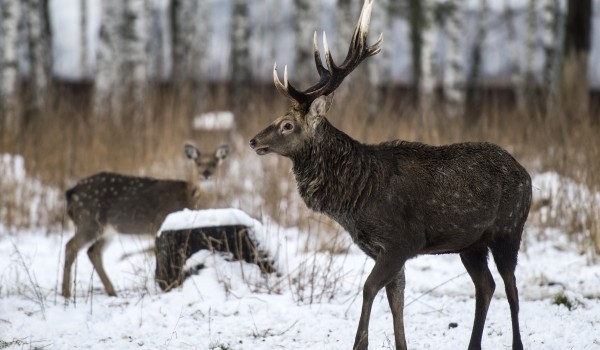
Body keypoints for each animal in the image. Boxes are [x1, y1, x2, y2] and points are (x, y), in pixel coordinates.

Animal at [61, 142, 230, 298]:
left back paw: (112, 292)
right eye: (198, 163)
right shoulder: (161, 222)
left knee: (92, 251)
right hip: (88, 220)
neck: (191, 199)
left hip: (107, 229)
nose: (206, 173)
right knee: (71, 246)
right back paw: (66, 293)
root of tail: (70, 193)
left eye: (214, 163)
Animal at [248, 0, 528, 350]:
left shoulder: (401, 242)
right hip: (472, 243)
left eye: (287, 125)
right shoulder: (383, 249)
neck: (355, 199)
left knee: (512, 287)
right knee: (486, 285)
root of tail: (527, 175)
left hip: (509, 230)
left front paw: (360, 343)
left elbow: (370, 288)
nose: (253, 140)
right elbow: (397, 298)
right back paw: (473, 344)